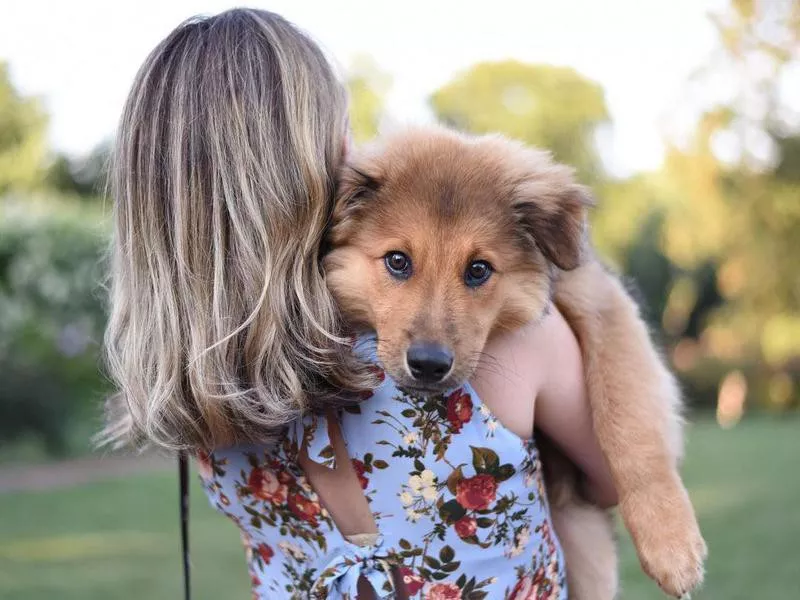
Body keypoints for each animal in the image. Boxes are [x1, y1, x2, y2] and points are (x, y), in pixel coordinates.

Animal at [324, 124, 708, 596]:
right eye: (398, 261)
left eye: (478, 269)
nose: (429, 365)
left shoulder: (602, 303)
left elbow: (627, 418)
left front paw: (670, 546)